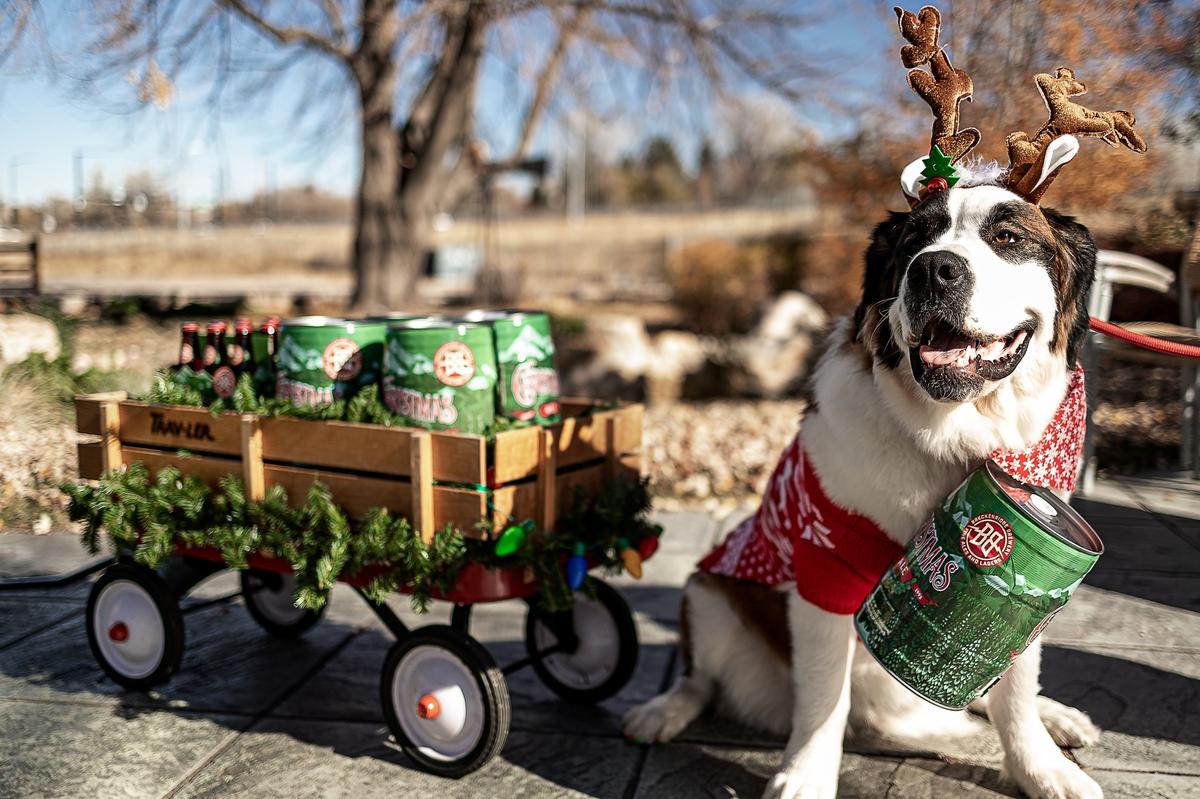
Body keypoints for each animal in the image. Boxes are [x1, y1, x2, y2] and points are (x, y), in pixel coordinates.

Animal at [628, 176, 1104, 796]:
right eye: (912, 242)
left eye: (1007, 237)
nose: (933, 270)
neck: (953, 437)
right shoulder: (825, 564)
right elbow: (824, 695)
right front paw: (806, 776)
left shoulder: (1041, 592)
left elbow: (1016, 686)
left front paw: (1041, 767)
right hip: (707, 595)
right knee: (701, 677)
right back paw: (662, 710)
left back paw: (1057, 716)